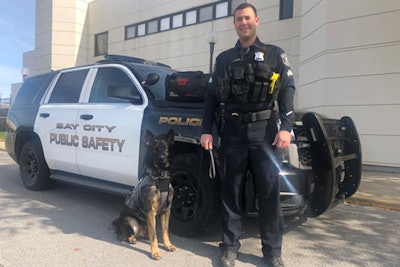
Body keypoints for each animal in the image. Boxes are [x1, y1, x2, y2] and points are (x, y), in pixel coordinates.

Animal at [111, 131, 176, 260]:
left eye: (166, 148)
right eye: (155, 149)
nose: (162, 158)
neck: (160, 177)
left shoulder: (166, 210)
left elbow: (165, 231)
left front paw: (167, 245)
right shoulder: (151, 211)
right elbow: (154, 235)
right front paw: (155, 252)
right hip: (132, 221)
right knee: (123, 236)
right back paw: (131, 239)